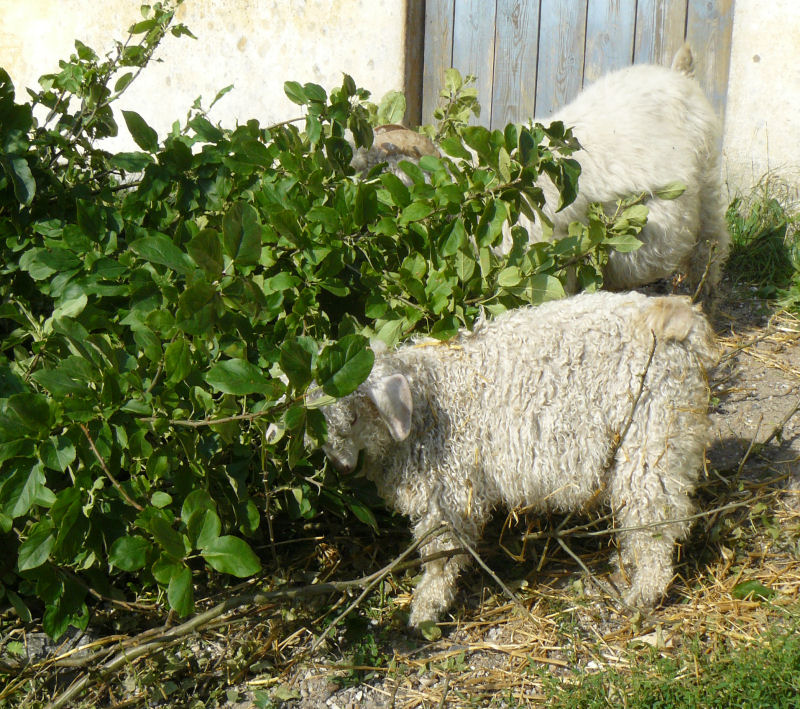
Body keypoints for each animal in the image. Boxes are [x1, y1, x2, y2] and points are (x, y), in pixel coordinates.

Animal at [318, 292, 720, 624]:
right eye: (321, 424)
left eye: (354, 416)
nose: (340, 466)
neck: (426, 400)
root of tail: (681, 319)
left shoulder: (450, 494)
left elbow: (441, 555)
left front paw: (426, 608)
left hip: (655, 432)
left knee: (656, 518)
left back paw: (645, 591)